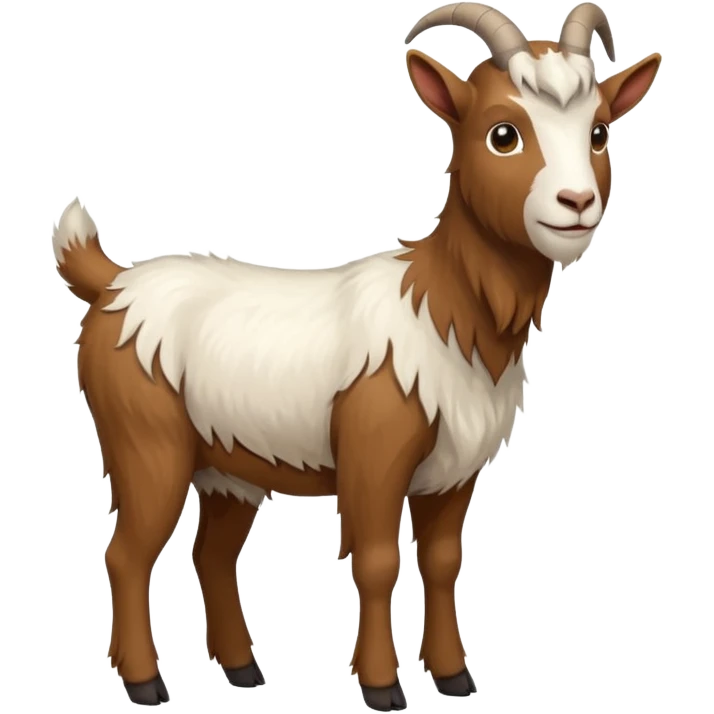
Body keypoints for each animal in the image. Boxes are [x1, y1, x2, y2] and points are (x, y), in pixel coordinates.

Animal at [50, 2, 661, 710]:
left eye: (599, 132)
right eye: (503, 134)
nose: (577, 204)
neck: (445, 309)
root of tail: (113, 283)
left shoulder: (453, 473)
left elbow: (444, 561)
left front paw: (454, 676)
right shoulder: (374, 452)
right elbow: (375, 561)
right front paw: (381, 686)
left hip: (227, 464)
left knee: (213, 554)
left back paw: (243, 669)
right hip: (145, 442)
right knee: (127, 554)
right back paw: (146, 682)